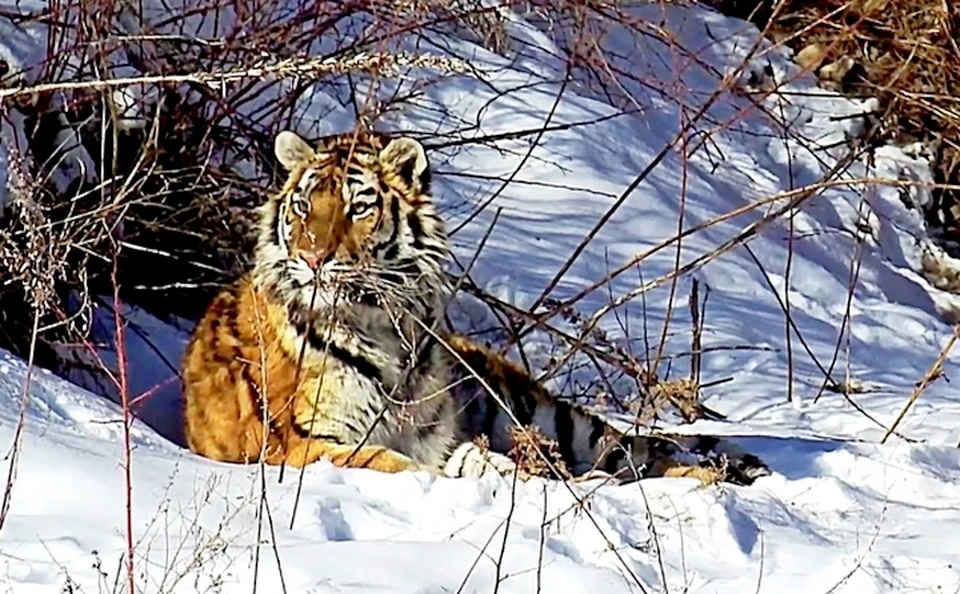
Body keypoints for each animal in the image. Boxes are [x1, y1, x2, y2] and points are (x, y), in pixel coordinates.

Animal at [178, 127, 764, 484]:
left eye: (359, 207)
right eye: (303, 206)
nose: (311, 257)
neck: (387, 323)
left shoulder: (434, 434)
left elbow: (471, 460)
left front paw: (519, 477)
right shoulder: (309, 445)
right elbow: (399, 465)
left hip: (537, 409)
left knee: (636, 451)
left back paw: (712, 476)